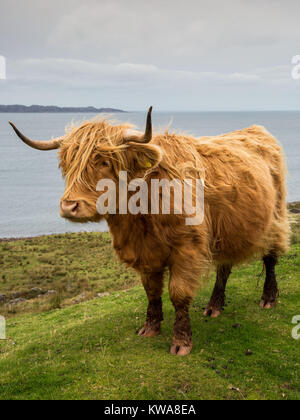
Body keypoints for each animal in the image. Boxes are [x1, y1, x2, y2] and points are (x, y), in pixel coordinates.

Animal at [9, 107, 290, 354]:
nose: (69, 206)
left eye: (103, 161)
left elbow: (178, 293)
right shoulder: (144, 252)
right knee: (224, 267)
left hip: (275, 217)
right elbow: (152, 290)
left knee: (271, 258)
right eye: (66, 165)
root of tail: (257, 130)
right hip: (227, 232)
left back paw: (268, 298)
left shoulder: (187, 248)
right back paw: (214, 306)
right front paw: (150, 328)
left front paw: (181, 342)